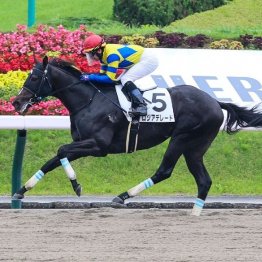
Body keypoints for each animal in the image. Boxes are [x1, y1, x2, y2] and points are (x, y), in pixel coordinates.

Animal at [11, 56, 262, 215]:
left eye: (34, 78)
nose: (16, 102)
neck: (88, 100)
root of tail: (215, 101)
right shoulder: (81, 142)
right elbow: (53, 160)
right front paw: (20, 192)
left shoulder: (99, 146)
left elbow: (60, 150)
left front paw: (76, 185)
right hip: (195, 148)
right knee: (203, 180)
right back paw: (194, 214)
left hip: (183, 138)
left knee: (165, 171)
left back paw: (123, 196)